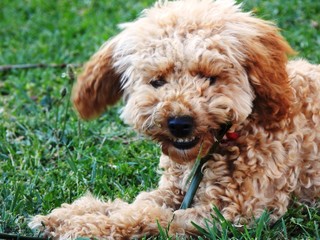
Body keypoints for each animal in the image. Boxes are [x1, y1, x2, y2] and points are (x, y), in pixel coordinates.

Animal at [28, 0, 318, 238]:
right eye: (158, 81)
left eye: (210, 77)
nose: (179, 123)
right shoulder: (173, 189)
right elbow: (135, 203)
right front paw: (67, 216)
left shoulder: (233, 214)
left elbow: (149, 216)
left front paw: (81, 226)